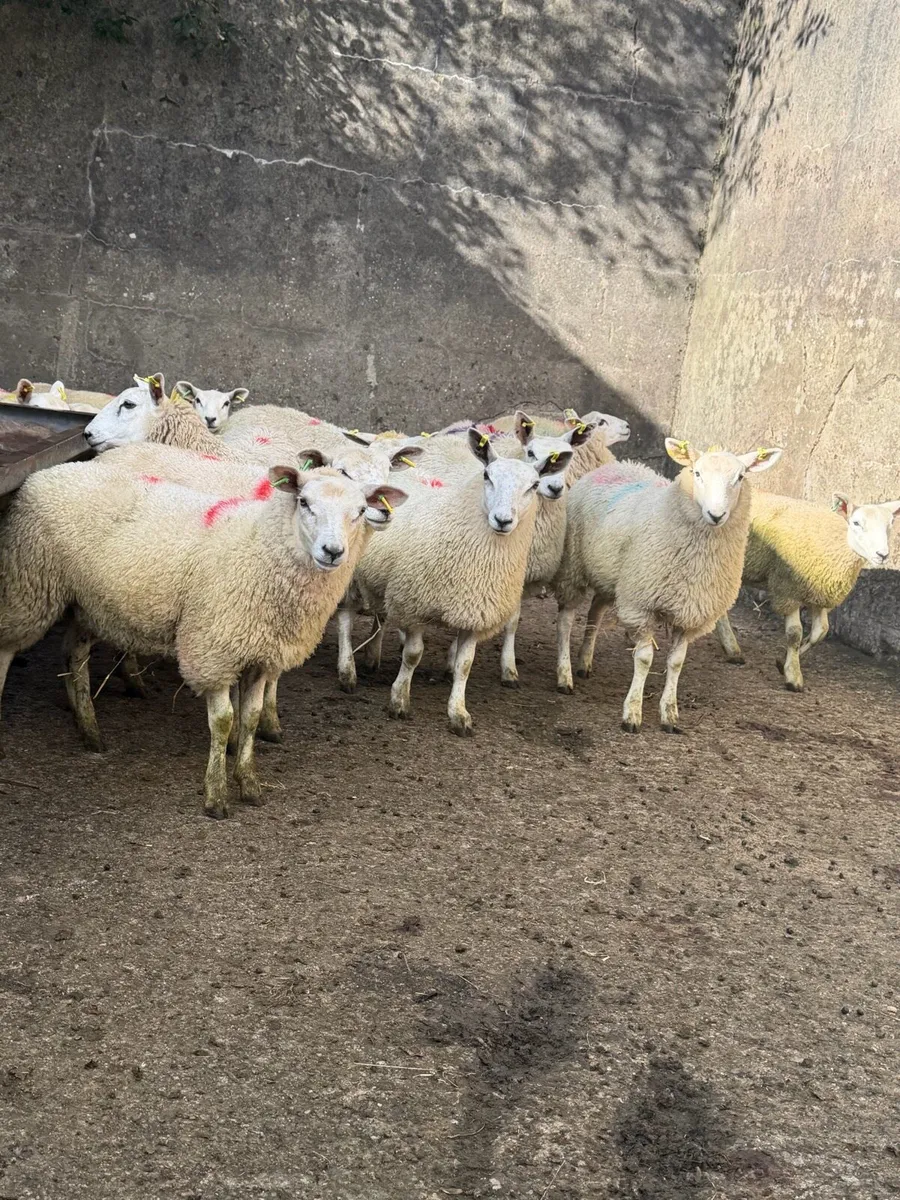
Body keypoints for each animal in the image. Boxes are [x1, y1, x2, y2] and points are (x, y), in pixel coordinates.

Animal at [0, 459, 407, 816]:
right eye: (304, 502)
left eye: (359, 510)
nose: (333, 552)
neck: (261, 548)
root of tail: (46, 473)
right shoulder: (214, 649)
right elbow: (224, 721)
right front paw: (216, 796)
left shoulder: (261, 653)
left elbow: (251, 718)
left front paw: (249, 783)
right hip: (29, 583)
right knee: (7, 646)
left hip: (87, 602)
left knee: (74, 656)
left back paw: (89, 729)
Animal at [355, 428, 552, 735]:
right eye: (487, 476)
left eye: (534, 485)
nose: (503, 520)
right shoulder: (414, 605)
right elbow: (413, 655)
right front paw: (399, 700)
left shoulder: (475, 615)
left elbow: (464, 665)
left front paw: (458, 713)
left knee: (381, 615)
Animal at [554, 438, 782, 732]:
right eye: (697, 473)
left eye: (740, 477)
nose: (716, 515)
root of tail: (618, 464)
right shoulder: (641, 605)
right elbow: (644, 659)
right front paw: (632, 713)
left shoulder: (690, 613)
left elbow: (676, 663)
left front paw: (670, 713)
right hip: (574, 566)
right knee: (566, 620)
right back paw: (565, 675)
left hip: (612, 577)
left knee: (595, 612)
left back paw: (584, 662)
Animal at [715, 491, 900, 690]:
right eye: (856, 523)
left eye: (890, 523)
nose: (882, 555)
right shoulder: (788, 588)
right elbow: (795, 633)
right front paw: (793, 675)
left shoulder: (819, 592)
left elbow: (821, 632)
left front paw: (783, 662)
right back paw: (731, 646)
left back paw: (732, 650)